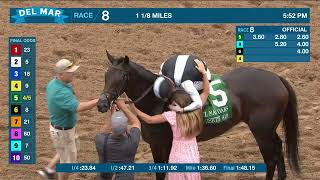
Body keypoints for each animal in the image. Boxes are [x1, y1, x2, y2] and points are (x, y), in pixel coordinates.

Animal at [97, 51, 300, 180]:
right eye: (106, 75)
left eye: (122, 78)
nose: (102, 104)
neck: (157, 101)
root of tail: (276, 78)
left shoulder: (160, 145)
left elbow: (161, 173)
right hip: (268, 129)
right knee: (279, 148)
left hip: (261, 132)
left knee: (271, 160)